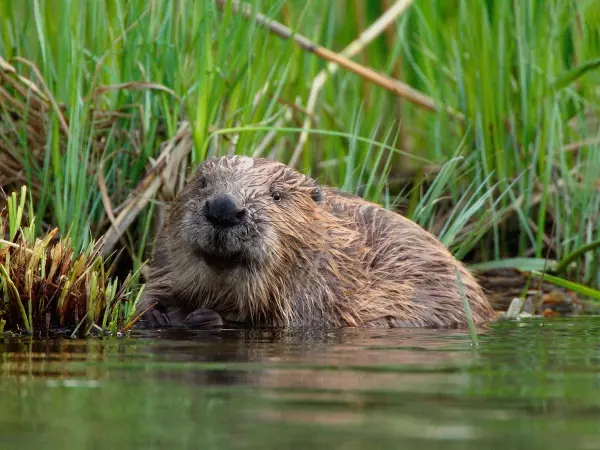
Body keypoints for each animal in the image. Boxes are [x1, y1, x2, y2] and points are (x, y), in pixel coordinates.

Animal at [137, 156, 496, 328]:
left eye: (277, 195)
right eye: (202, 182)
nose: (223, 208)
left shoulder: (321, 293)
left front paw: (204, 317)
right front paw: (155, 315)